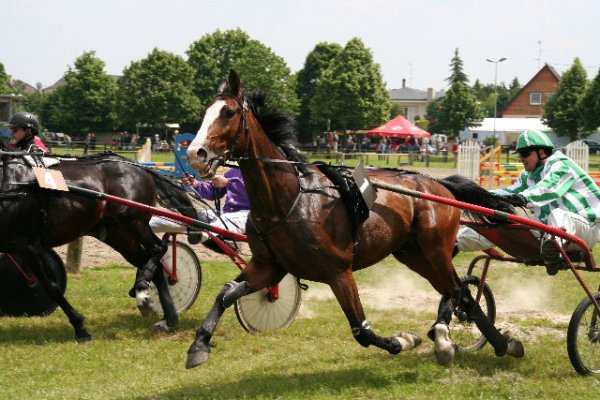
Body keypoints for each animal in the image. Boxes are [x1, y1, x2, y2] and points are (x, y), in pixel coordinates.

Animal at [0, 148, 196, 342]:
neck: (12, 183)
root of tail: (137, 166)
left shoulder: (27, 245)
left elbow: (51, 287)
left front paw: (80, 329)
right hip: (118, 235)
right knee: (154, 264)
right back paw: (168, 317)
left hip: (134, 221)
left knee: (159, 248)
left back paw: (142, 289)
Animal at [185, 70, 524, 368]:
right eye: (204, 111)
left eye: (228, 112)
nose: (195, 153)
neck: (290, 200)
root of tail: (438, 184)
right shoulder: (268, 266)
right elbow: (226, 293)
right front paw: (199, 346)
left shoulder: (338, 271)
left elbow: (361, 329)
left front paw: (403, 341)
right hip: (414, 254)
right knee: (459, 292)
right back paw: (473, 342)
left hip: (435, 250)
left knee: (460, 292)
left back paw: (490, 342)